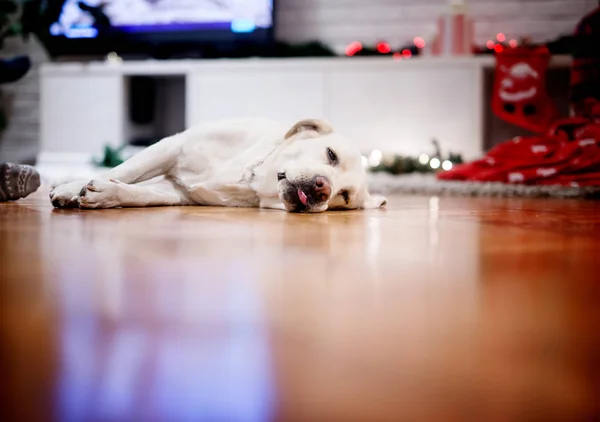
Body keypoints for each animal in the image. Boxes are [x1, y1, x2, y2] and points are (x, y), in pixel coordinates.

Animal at [49, 118, 386, 211]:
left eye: (343, 197)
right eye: (331, 155)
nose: (322, 189)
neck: (250, 177)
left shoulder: (178, 193)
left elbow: (139, 194)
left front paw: (107, 195)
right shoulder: (171, 146)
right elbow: (123, 170)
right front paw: (68, 188)